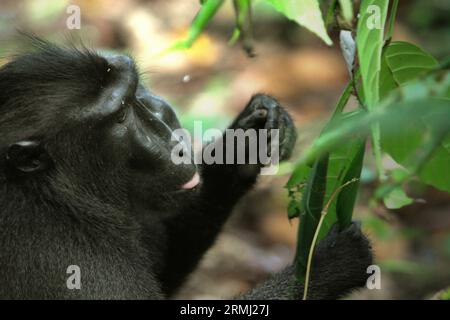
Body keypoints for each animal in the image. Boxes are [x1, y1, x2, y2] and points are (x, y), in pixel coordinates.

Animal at [0, 38, 372, 300]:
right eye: (120, 116)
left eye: (135, 92)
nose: (172, 133)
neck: (54, 197)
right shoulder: (74, 265)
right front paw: (326, 267)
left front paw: (244, 143)